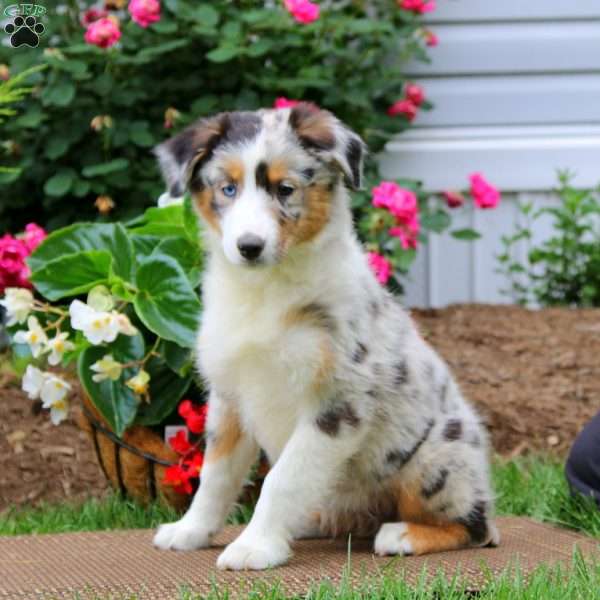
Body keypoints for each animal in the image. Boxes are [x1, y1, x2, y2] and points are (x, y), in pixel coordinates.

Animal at [152, 105, 500, 568]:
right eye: (228, 188)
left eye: (285, 189)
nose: (249, 246)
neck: (266, 289)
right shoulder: (230, 397)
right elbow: (216, 475)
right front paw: (190, 530)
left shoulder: (338, 404)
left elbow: (280, 480)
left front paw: (253, 547)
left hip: (435, 458)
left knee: (475, 527)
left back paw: (403, 534)